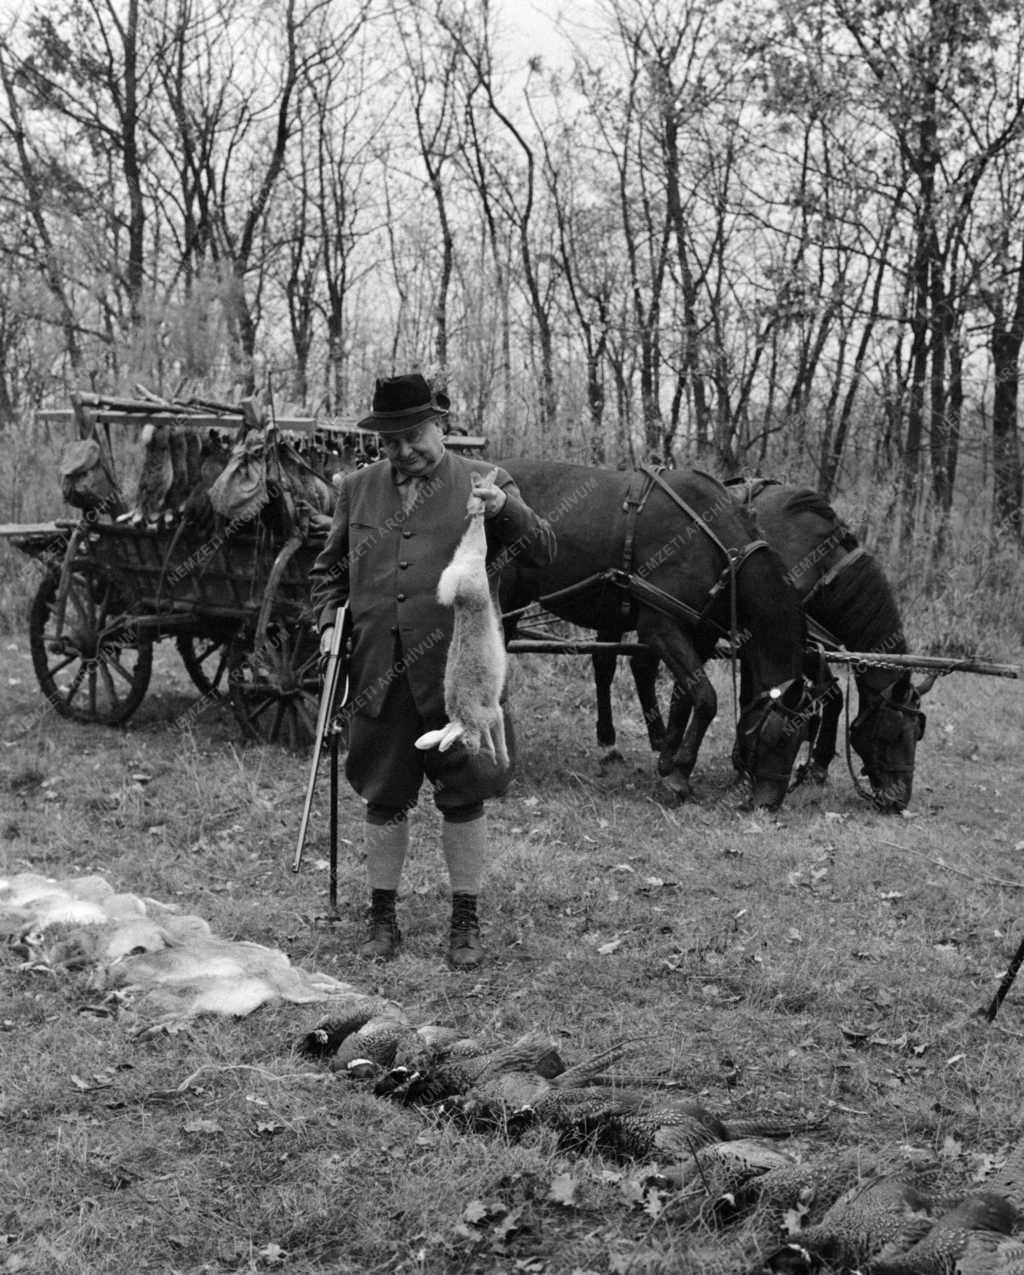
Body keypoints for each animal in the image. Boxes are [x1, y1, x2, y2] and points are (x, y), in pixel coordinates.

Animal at [499, 464, 811, 810]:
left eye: (802, 738)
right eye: (777, 738)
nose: (769, 803)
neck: (718, 549)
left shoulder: (699, 633)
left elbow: (685, 696)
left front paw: (669, 758)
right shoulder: (660, 625)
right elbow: (706, 698)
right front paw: (680, 773)